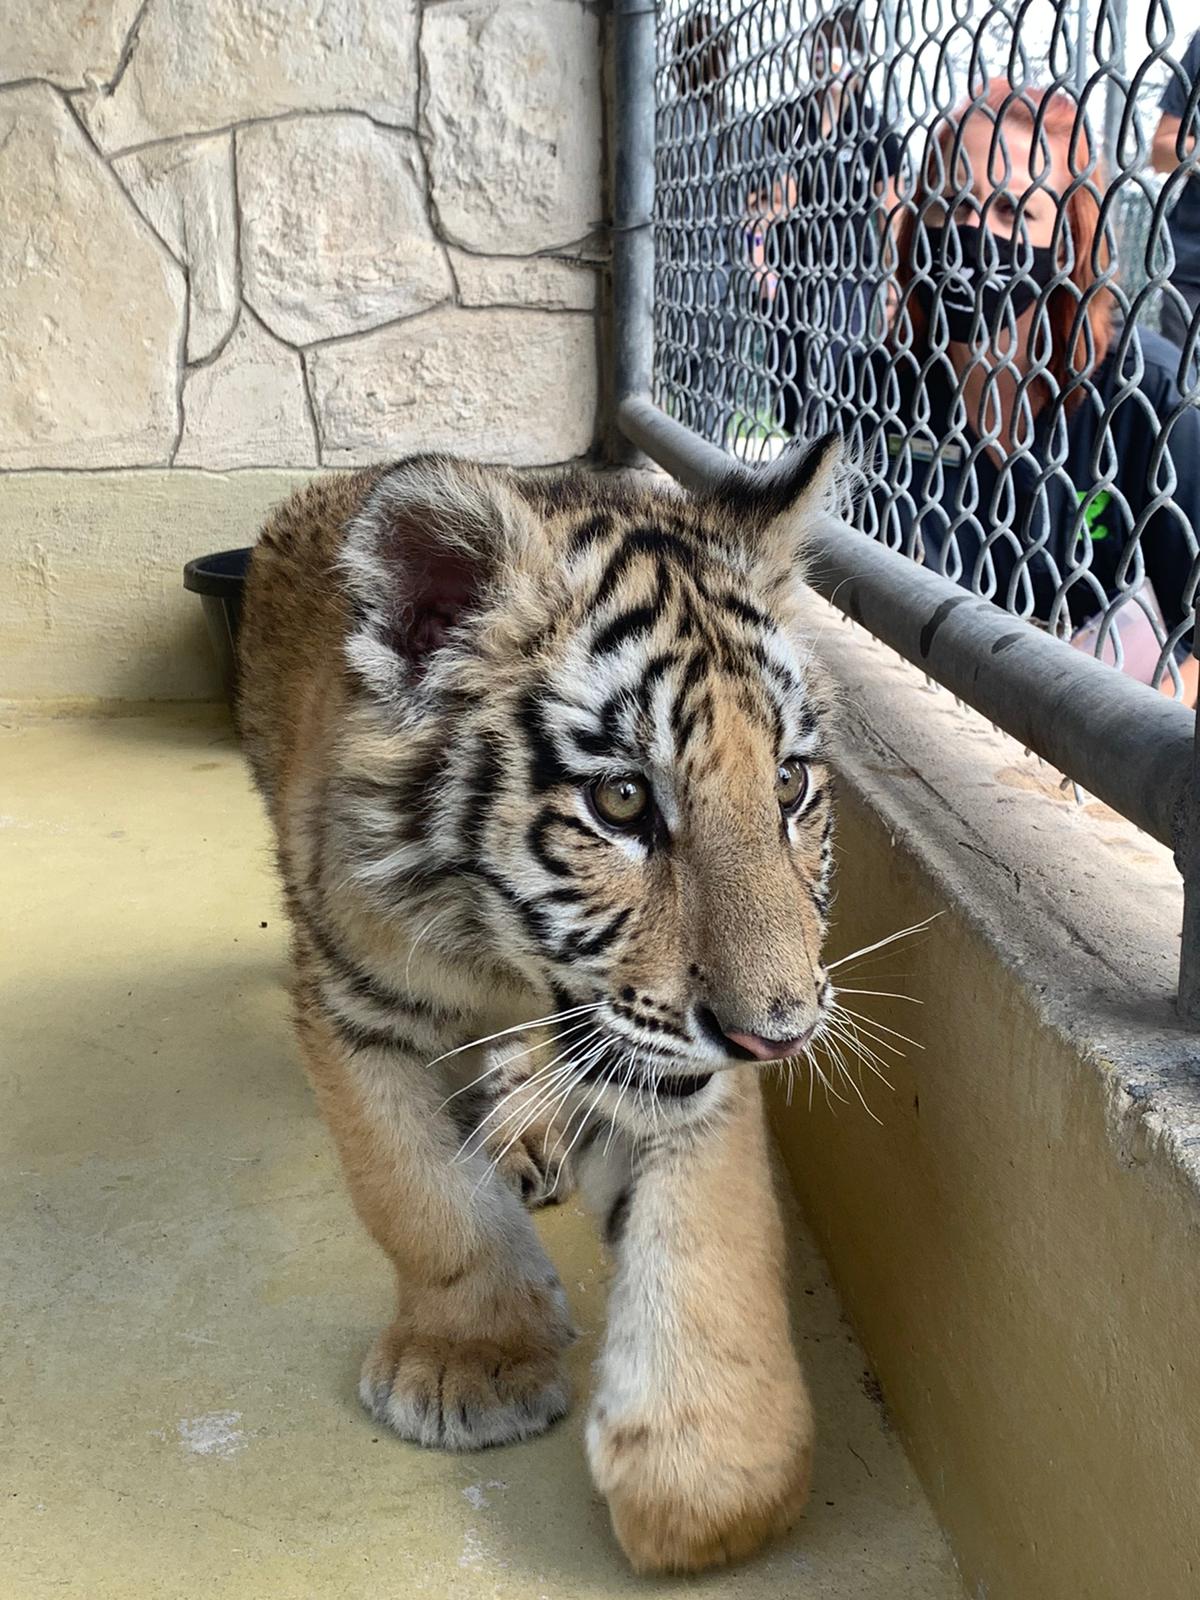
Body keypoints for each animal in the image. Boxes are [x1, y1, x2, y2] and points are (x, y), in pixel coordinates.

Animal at [236, 438, 842, 1575]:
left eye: (788, 784)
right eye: (621, 800)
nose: (776, 1036)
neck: (502, 953)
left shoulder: (682, 1070)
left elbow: (714, 1235)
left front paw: (709, 1476)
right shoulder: (350, 1004)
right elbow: (414, 1191)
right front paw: (471, 1362)